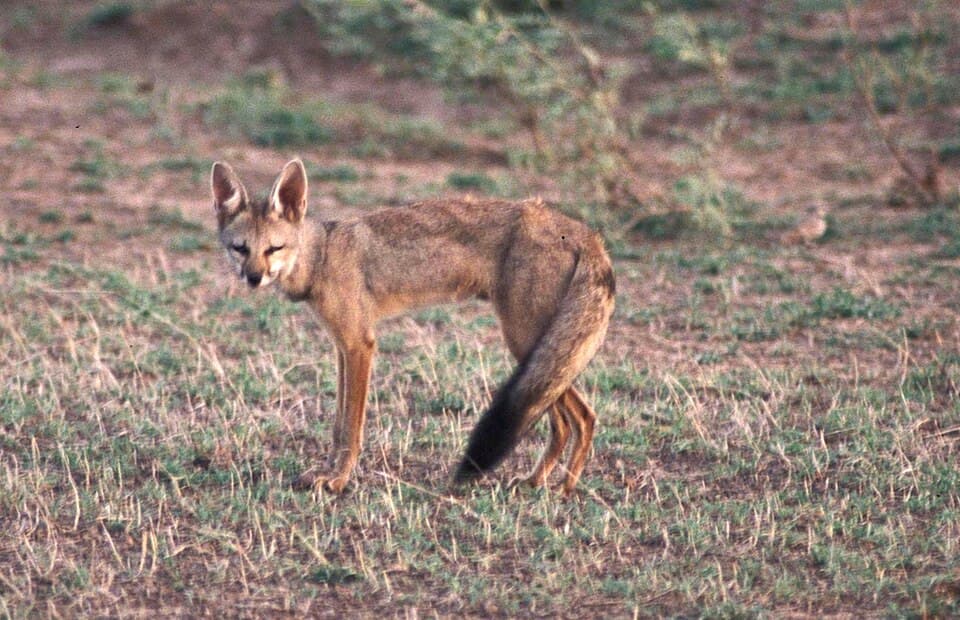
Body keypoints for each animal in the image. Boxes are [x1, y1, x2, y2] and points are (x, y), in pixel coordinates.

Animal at [211, 158, 615, 495]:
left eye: (274, 249)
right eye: (240, 249)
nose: (253, 278)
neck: (322, 256)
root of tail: (584, 232)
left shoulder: (360, 345)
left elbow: (351, 427)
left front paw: (339, 480)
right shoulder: (343, 347)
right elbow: (339, 424)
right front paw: (326, 473)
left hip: (526, 344)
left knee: (583, 418)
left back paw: (564, 489)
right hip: (538, 356)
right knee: (566, 421)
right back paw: (536, 482)